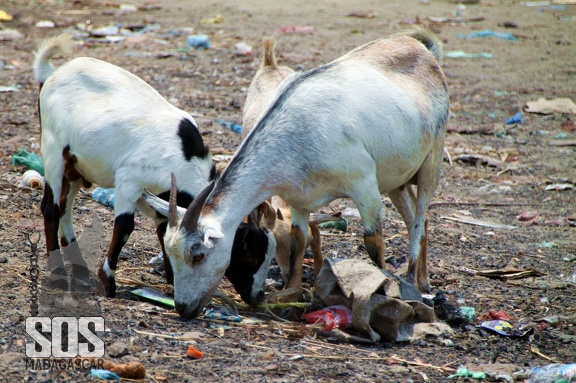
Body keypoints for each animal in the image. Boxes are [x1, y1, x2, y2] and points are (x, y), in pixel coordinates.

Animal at [35, 34, 276, 304]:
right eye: (250, 256)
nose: (258, 296)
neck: (181, 157)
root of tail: (53, 73)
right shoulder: (128, 181)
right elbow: (125, 227)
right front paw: (107, 282)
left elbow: (165, 229)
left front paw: (172, 278)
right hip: (53, 149)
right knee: (51, 208)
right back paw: (57, 272)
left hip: (76, 166)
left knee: (65, 207)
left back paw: (78, 267)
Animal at [146, 27, 448, 320]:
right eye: (169, 252)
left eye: (197, 255)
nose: (183, 308)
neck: (296, 133)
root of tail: (424, 50)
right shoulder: (299, 197)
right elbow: (298, 241)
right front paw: (292, 292)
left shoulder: (363, 184)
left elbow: (372, 241)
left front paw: (383, 291)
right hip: (397, 179)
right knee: (416, 218)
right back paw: (422, 280)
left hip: (432, 157)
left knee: (420, 217)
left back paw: (414, 282)